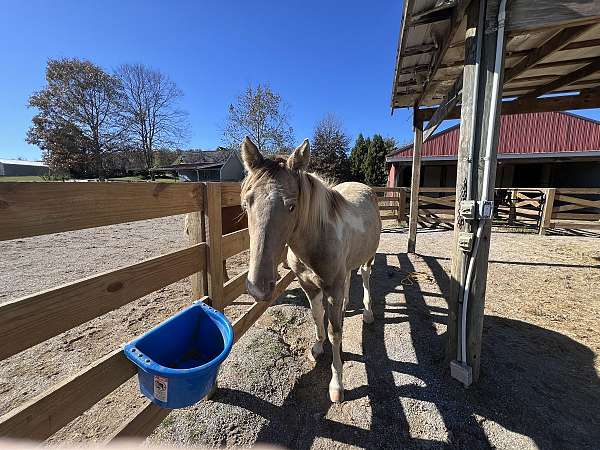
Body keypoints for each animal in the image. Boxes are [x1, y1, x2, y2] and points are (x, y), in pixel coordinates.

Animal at [238, 135, 380, 402]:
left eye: (292, 206)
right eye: (246, 203)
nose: (258, 287)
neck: (317, 239)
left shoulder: (331, 288)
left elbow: (336, 333)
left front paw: (337, 385)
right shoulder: (308, 285)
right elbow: (317, 316)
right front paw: (317, 347)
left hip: (368, 258)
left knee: (366, 278)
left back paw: (367, 313)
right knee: (348, 279)